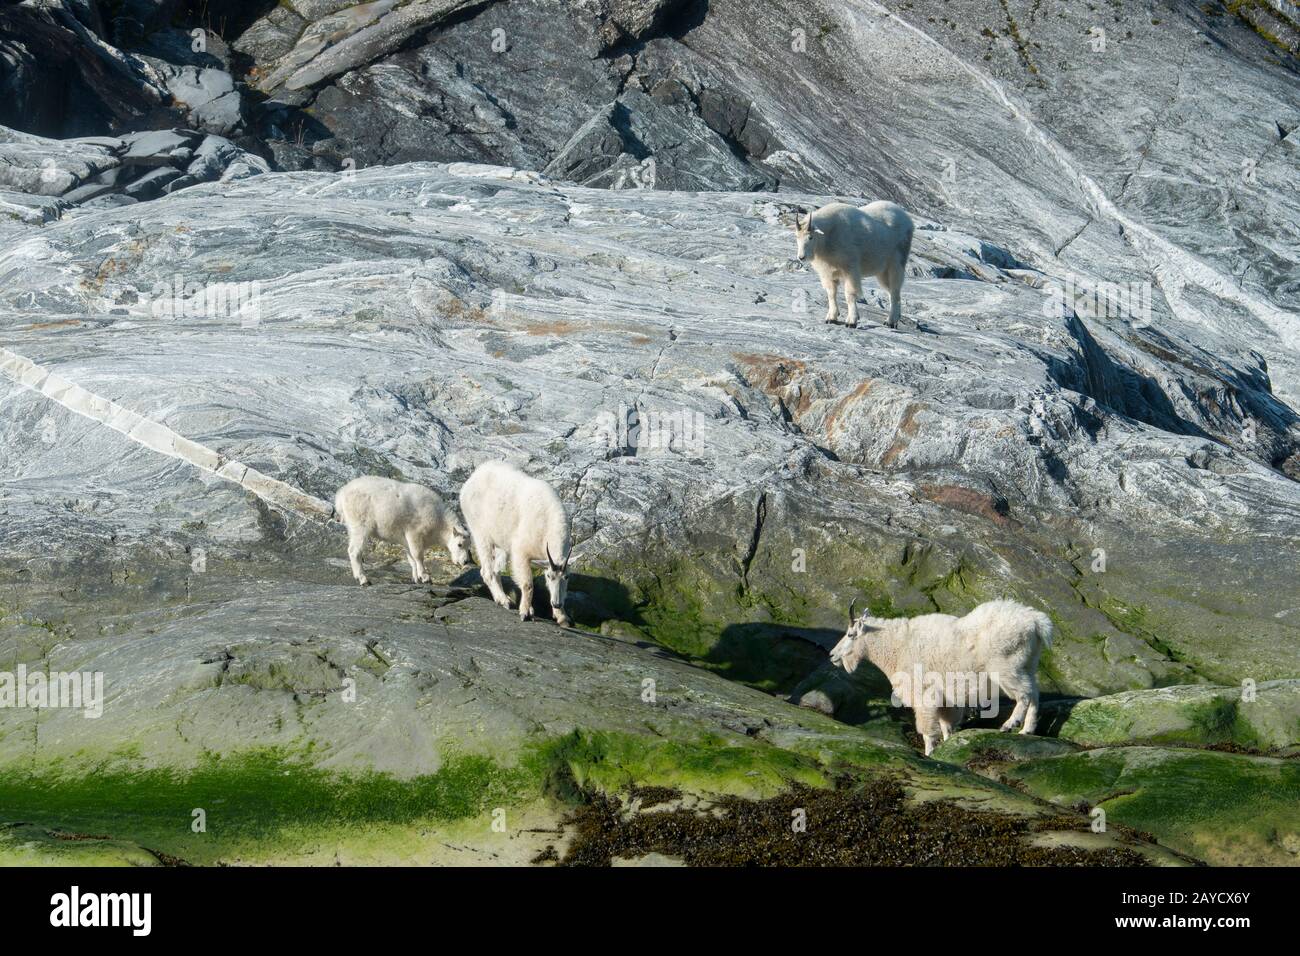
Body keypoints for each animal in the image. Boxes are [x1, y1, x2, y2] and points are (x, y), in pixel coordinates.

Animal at [332, 476, 470, 587]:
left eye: (469, 547)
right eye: (459, 544)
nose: (465, 561)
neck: (440, 521)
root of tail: (341, 495)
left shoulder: (406, 539)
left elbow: (411, 558)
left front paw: (416, 578)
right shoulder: (415, 532)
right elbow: (418, 555)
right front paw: (425, 577)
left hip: (352, 525)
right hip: (360, 523)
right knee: (354, 551)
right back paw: (363, 579)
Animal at [462, 463, 574, 629]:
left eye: (566, 577)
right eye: (549, 576)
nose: (556, 603)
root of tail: (471, 479)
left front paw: (563, 618)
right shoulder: (521, 551)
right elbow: (528, 584)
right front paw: (525, 613)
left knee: (496, 568)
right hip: (480, 531)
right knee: (487, 569)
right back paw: (504, 600)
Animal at [790, 201, 915, 329]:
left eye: (810, 237)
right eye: (797, 236)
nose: (801, 257)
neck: (828, 236)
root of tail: (907, 220)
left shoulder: (850, 269)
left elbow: (849, 294)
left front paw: (851, 321)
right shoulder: (827, 272)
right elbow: (831, 294)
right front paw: (831, 317)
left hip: (896, 263)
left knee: (895, 291)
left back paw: (890, 321)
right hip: (883, 270)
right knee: (890, 291)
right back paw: (895, 318)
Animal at [832, 598, 1055, 754]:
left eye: (851, 634)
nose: (832, 655)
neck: (897, 646)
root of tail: (1036, 622)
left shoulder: (923, 693)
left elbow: (927, 731)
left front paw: (930, 753)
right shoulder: (946, 699)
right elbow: (947, 726)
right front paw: (947, 746)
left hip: (1005, 665)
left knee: (1024, 694)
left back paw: (1010, 724)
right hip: (1028, 664)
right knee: (1034, 693)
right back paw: (1027, 730)